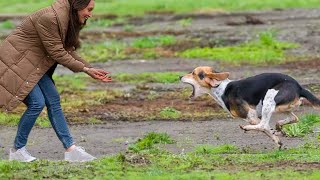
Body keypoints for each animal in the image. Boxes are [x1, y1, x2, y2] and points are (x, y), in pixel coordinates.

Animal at [180, 66, 320, 148]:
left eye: (193, 73)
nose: (179, 76)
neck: (222, 89)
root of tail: (299, 87)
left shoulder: (251, 115)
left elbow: (264, 128)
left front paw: (275, 137)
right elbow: (268, 130)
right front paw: (277, 138)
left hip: (269, 98)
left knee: (263, 124)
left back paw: (247, 128)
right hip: (283, 108)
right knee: (293, 118)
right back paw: (279, 128)